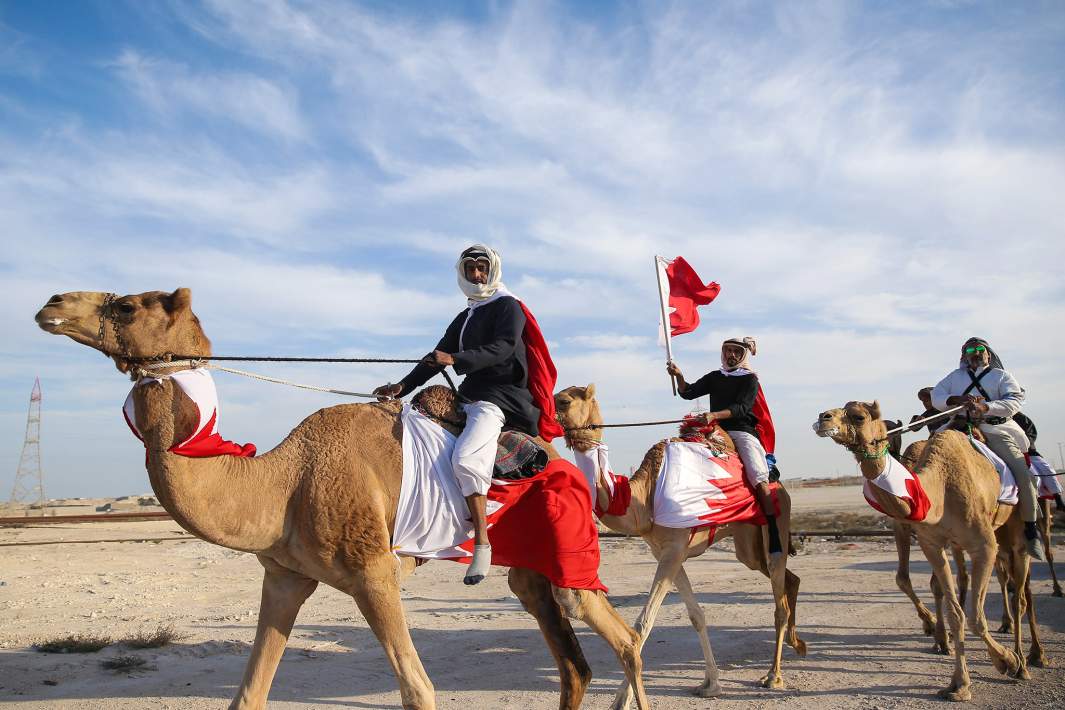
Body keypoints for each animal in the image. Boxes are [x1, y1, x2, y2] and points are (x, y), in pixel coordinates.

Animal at [35, 289, 647, 710]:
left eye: (127, 305)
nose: (51, 303)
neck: (284, 482)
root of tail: (556, 454)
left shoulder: (375, 571)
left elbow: (418, 690)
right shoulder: (285, 575)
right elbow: (248, 693)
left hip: (570, 546)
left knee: (622, 640)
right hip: (529, 563)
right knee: (572, 660)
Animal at [553, 383, 800, 710]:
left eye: (565, 400)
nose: (547, 415)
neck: (643, 498)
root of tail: (779, 485)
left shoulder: (673, 550)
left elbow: (644, 623)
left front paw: (621, 701)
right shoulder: (667, 551)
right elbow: (696, 616)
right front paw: (711, 684)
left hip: (775, 526)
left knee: (779, 598)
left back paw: (773, 675)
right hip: (747, 545)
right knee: (789, 578)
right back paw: (799, 645)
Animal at [813, 400, 1047, 698]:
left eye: (858, 416)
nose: (823, 418)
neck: (939, 490)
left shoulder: (983, 546)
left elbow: (976, 617)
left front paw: (1006, 660)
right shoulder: (930, 543)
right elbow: (954, 611)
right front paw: (959, 683)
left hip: (1016, 524)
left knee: (1021, 594)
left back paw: (1029, 660)